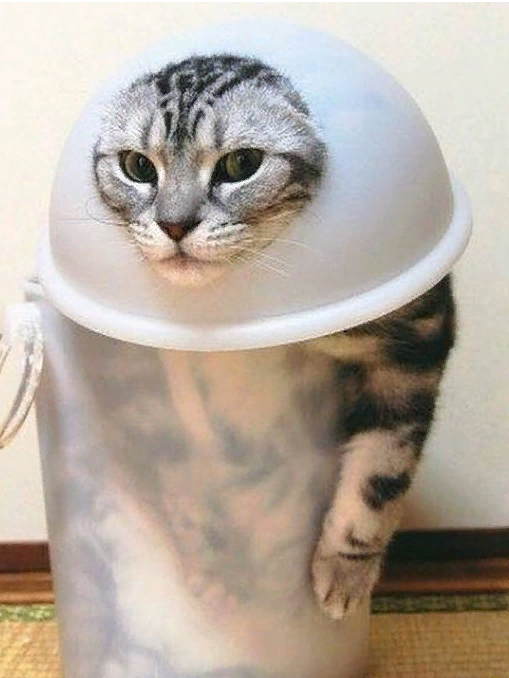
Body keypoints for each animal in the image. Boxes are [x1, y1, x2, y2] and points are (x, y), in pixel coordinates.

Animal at [93, 54, 455, 621]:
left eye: (241, 164)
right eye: (138, 167)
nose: (174, 225)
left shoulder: (416, 344)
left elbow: (380, 472)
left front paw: (345, 569)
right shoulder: (134, 378)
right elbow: (179, 481)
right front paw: (214, 564)